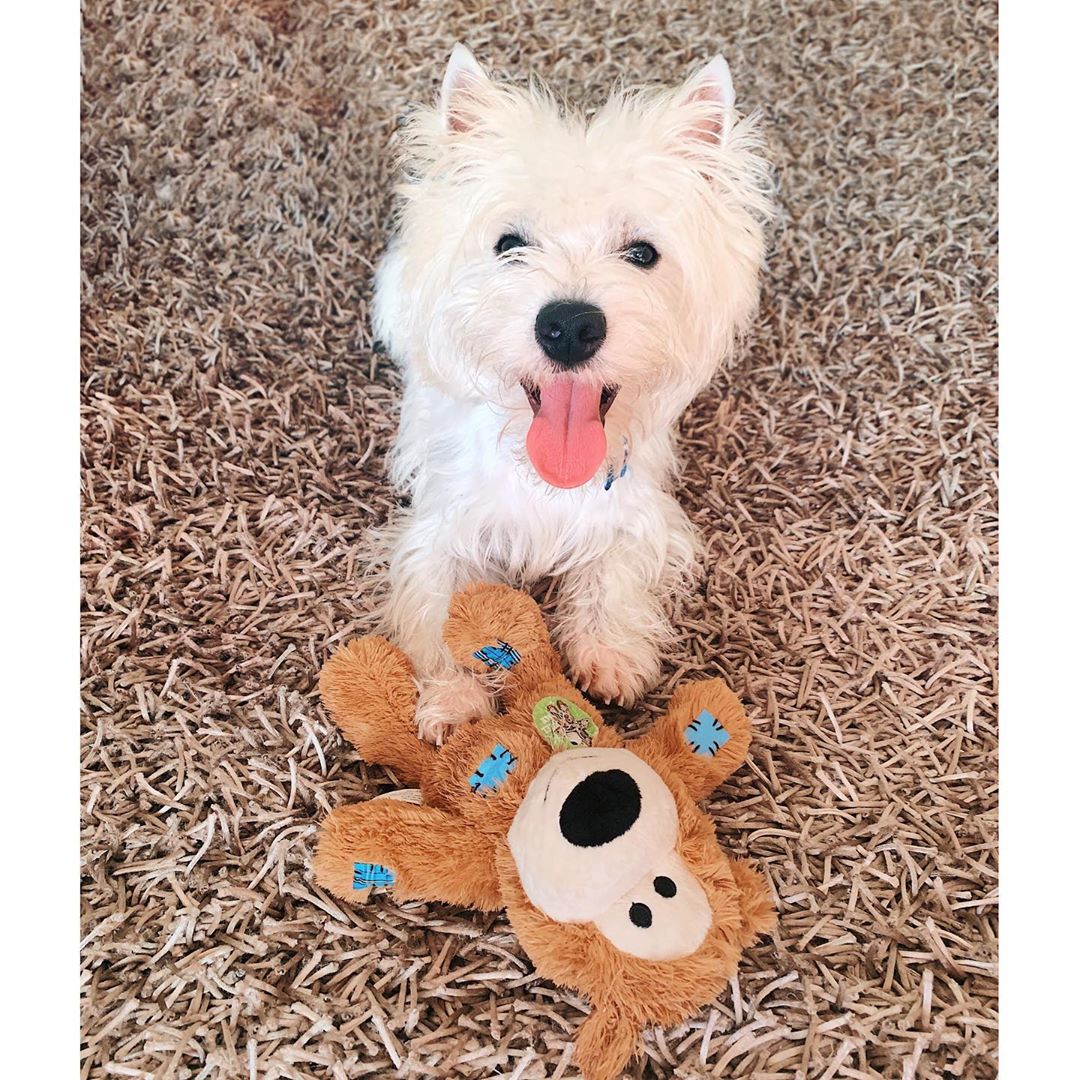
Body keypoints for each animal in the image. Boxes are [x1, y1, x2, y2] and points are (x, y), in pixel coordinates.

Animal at [369, 46, 768, 738]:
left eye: (642, 252)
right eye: (509, 244)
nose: (570, 326)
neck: (543, 473)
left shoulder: (637, 511)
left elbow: (615, 568)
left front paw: (610, 654)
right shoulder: (442, 527)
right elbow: (437, 610)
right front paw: (454, 703)